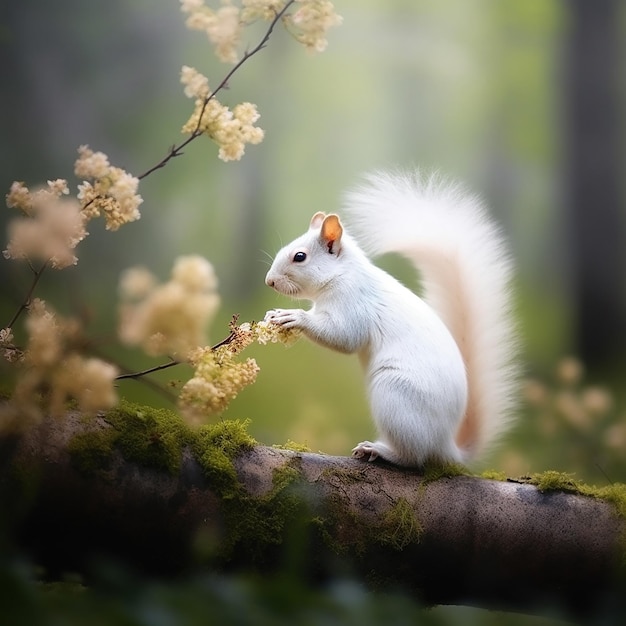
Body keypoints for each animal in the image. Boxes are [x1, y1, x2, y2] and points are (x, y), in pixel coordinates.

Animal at [264, 169, 516, 464]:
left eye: (300, 256)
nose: (269, 281)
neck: (342, 275)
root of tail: (445, 444)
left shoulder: (353, 304)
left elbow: (344, 337)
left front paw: (294, 316)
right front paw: (274, 313)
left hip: (395, 395)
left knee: (412, 457)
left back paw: (379, 450)